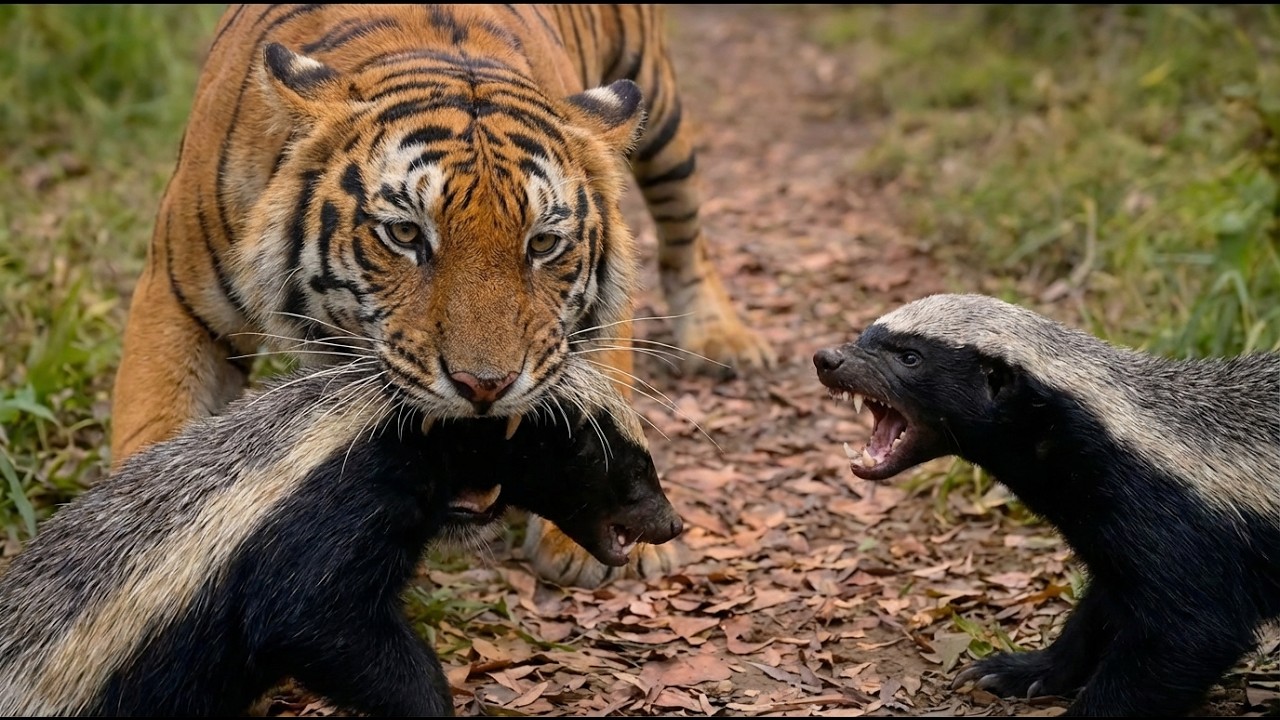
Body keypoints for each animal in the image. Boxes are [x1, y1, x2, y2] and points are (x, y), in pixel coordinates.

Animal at [110, 4, 774, 588]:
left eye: (543, 243)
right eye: (405, 235)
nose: (485, 388)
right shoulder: (177, 299)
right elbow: (154, 432)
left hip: (656, 102)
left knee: (686, 227)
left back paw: (727, 339)